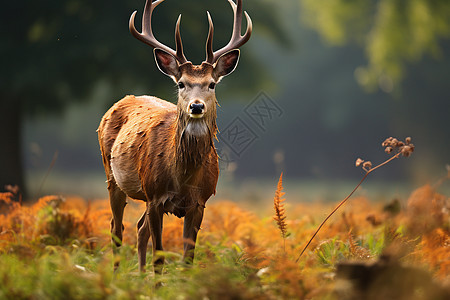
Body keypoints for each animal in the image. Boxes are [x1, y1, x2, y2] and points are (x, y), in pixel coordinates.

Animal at [97, 0, 251, 272]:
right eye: (181, 83)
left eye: (212, 84)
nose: (196, 106)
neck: (183, 178)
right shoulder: (155, 197)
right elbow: (159, 256)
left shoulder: (199, 203)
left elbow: (188, 259)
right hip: (112, 176)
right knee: (116, 228)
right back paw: (116, 276)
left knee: (139, 228)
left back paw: (140, 276)